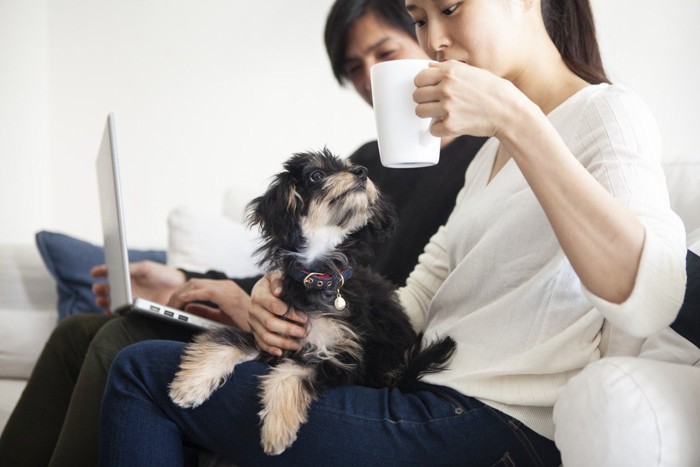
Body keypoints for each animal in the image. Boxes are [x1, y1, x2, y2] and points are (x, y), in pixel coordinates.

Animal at [168, 150, 454, 458]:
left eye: (351, 167)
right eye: (316, 175)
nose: (362, 172)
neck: (319, 276)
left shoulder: (343, 361)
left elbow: (291, 373)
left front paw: (276, 431)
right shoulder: (271, 337)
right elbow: (229, 340)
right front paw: (188, 387)